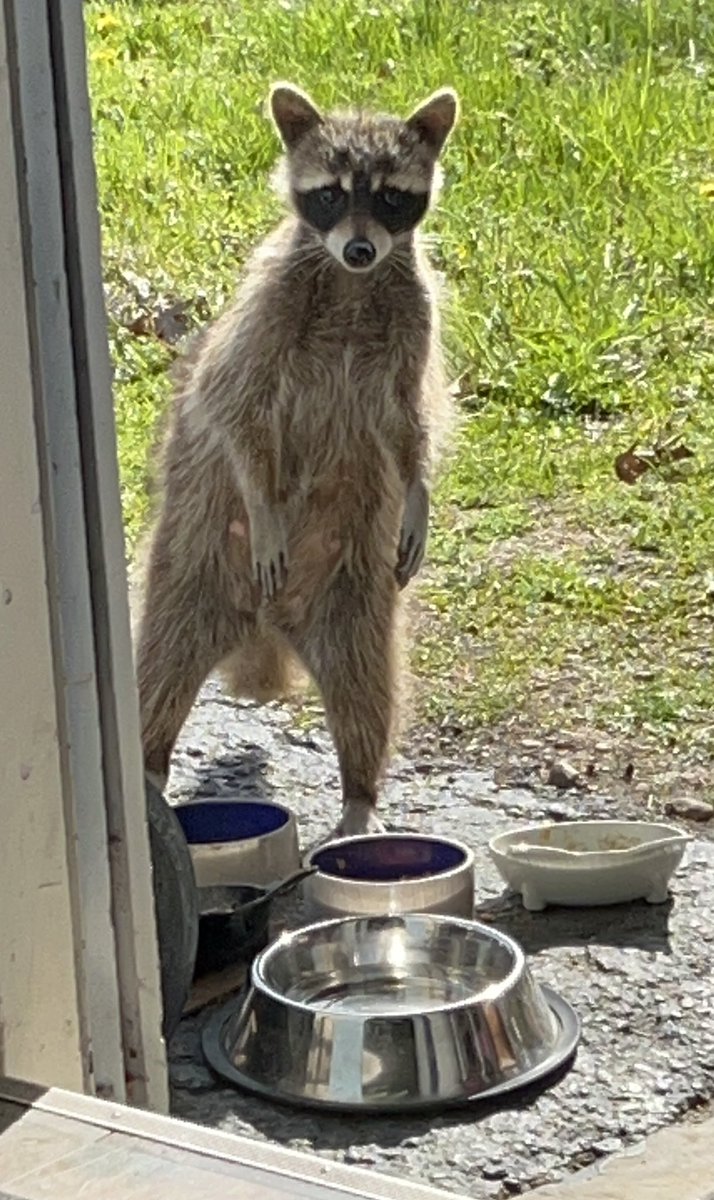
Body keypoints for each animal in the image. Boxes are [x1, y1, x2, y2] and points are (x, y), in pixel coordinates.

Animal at [136, 82, 458, 838]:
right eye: (332, 194)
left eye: (391, 196)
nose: (362, 248)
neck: (351, 283)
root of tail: (268, 623)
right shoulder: (269, 310)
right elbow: (231, 402)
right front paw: (262, 498)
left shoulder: (414, 314)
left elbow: (412, 423)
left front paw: (420, 489)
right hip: (192, 568)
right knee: (160, 664)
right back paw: (149, 764)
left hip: (355, 597)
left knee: (369, 689)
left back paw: (359, 795)